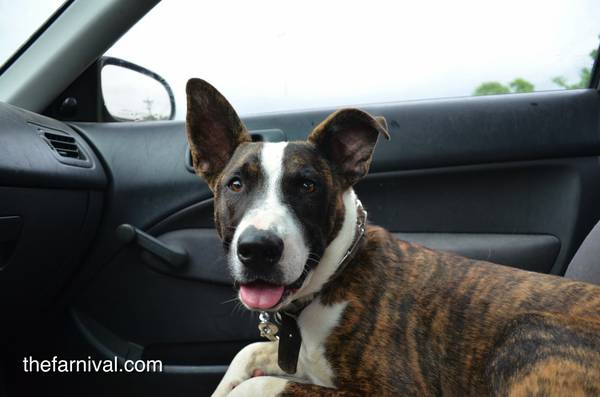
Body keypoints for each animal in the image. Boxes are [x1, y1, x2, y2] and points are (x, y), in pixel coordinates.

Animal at [185, 78, 600, 396]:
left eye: (307, 186)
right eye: (235, 184)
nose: (258, 250)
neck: (337, 272)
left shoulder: (396, 389)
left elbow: (261, 385)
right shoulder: (303, 358)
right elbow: (249, 352)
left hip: (528, 332)